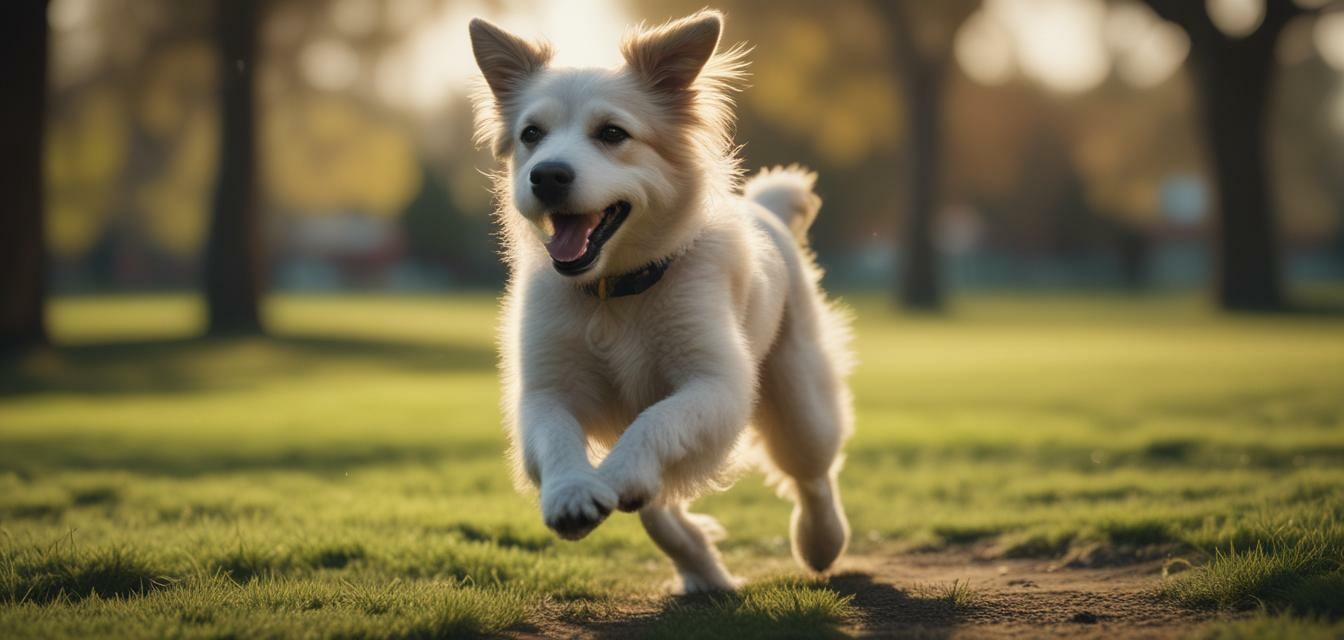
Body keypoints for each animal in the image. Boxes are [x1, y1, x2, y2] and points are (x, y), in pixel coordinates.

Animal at [467, 10, 854, 591]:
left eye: (612, 133)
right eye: (531, 135)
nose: (547, 175)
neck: (614, 292)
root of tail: (765, 208)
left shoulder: (716, 383)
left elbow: (658, 423)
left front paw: (618, 473)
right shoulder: (545, 389)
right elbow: (557, 436)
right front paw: (572, 492)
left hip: (799, 400)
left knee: (812, 474)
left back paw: (820, 543)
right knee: (659, 507)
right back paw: (703, 571)